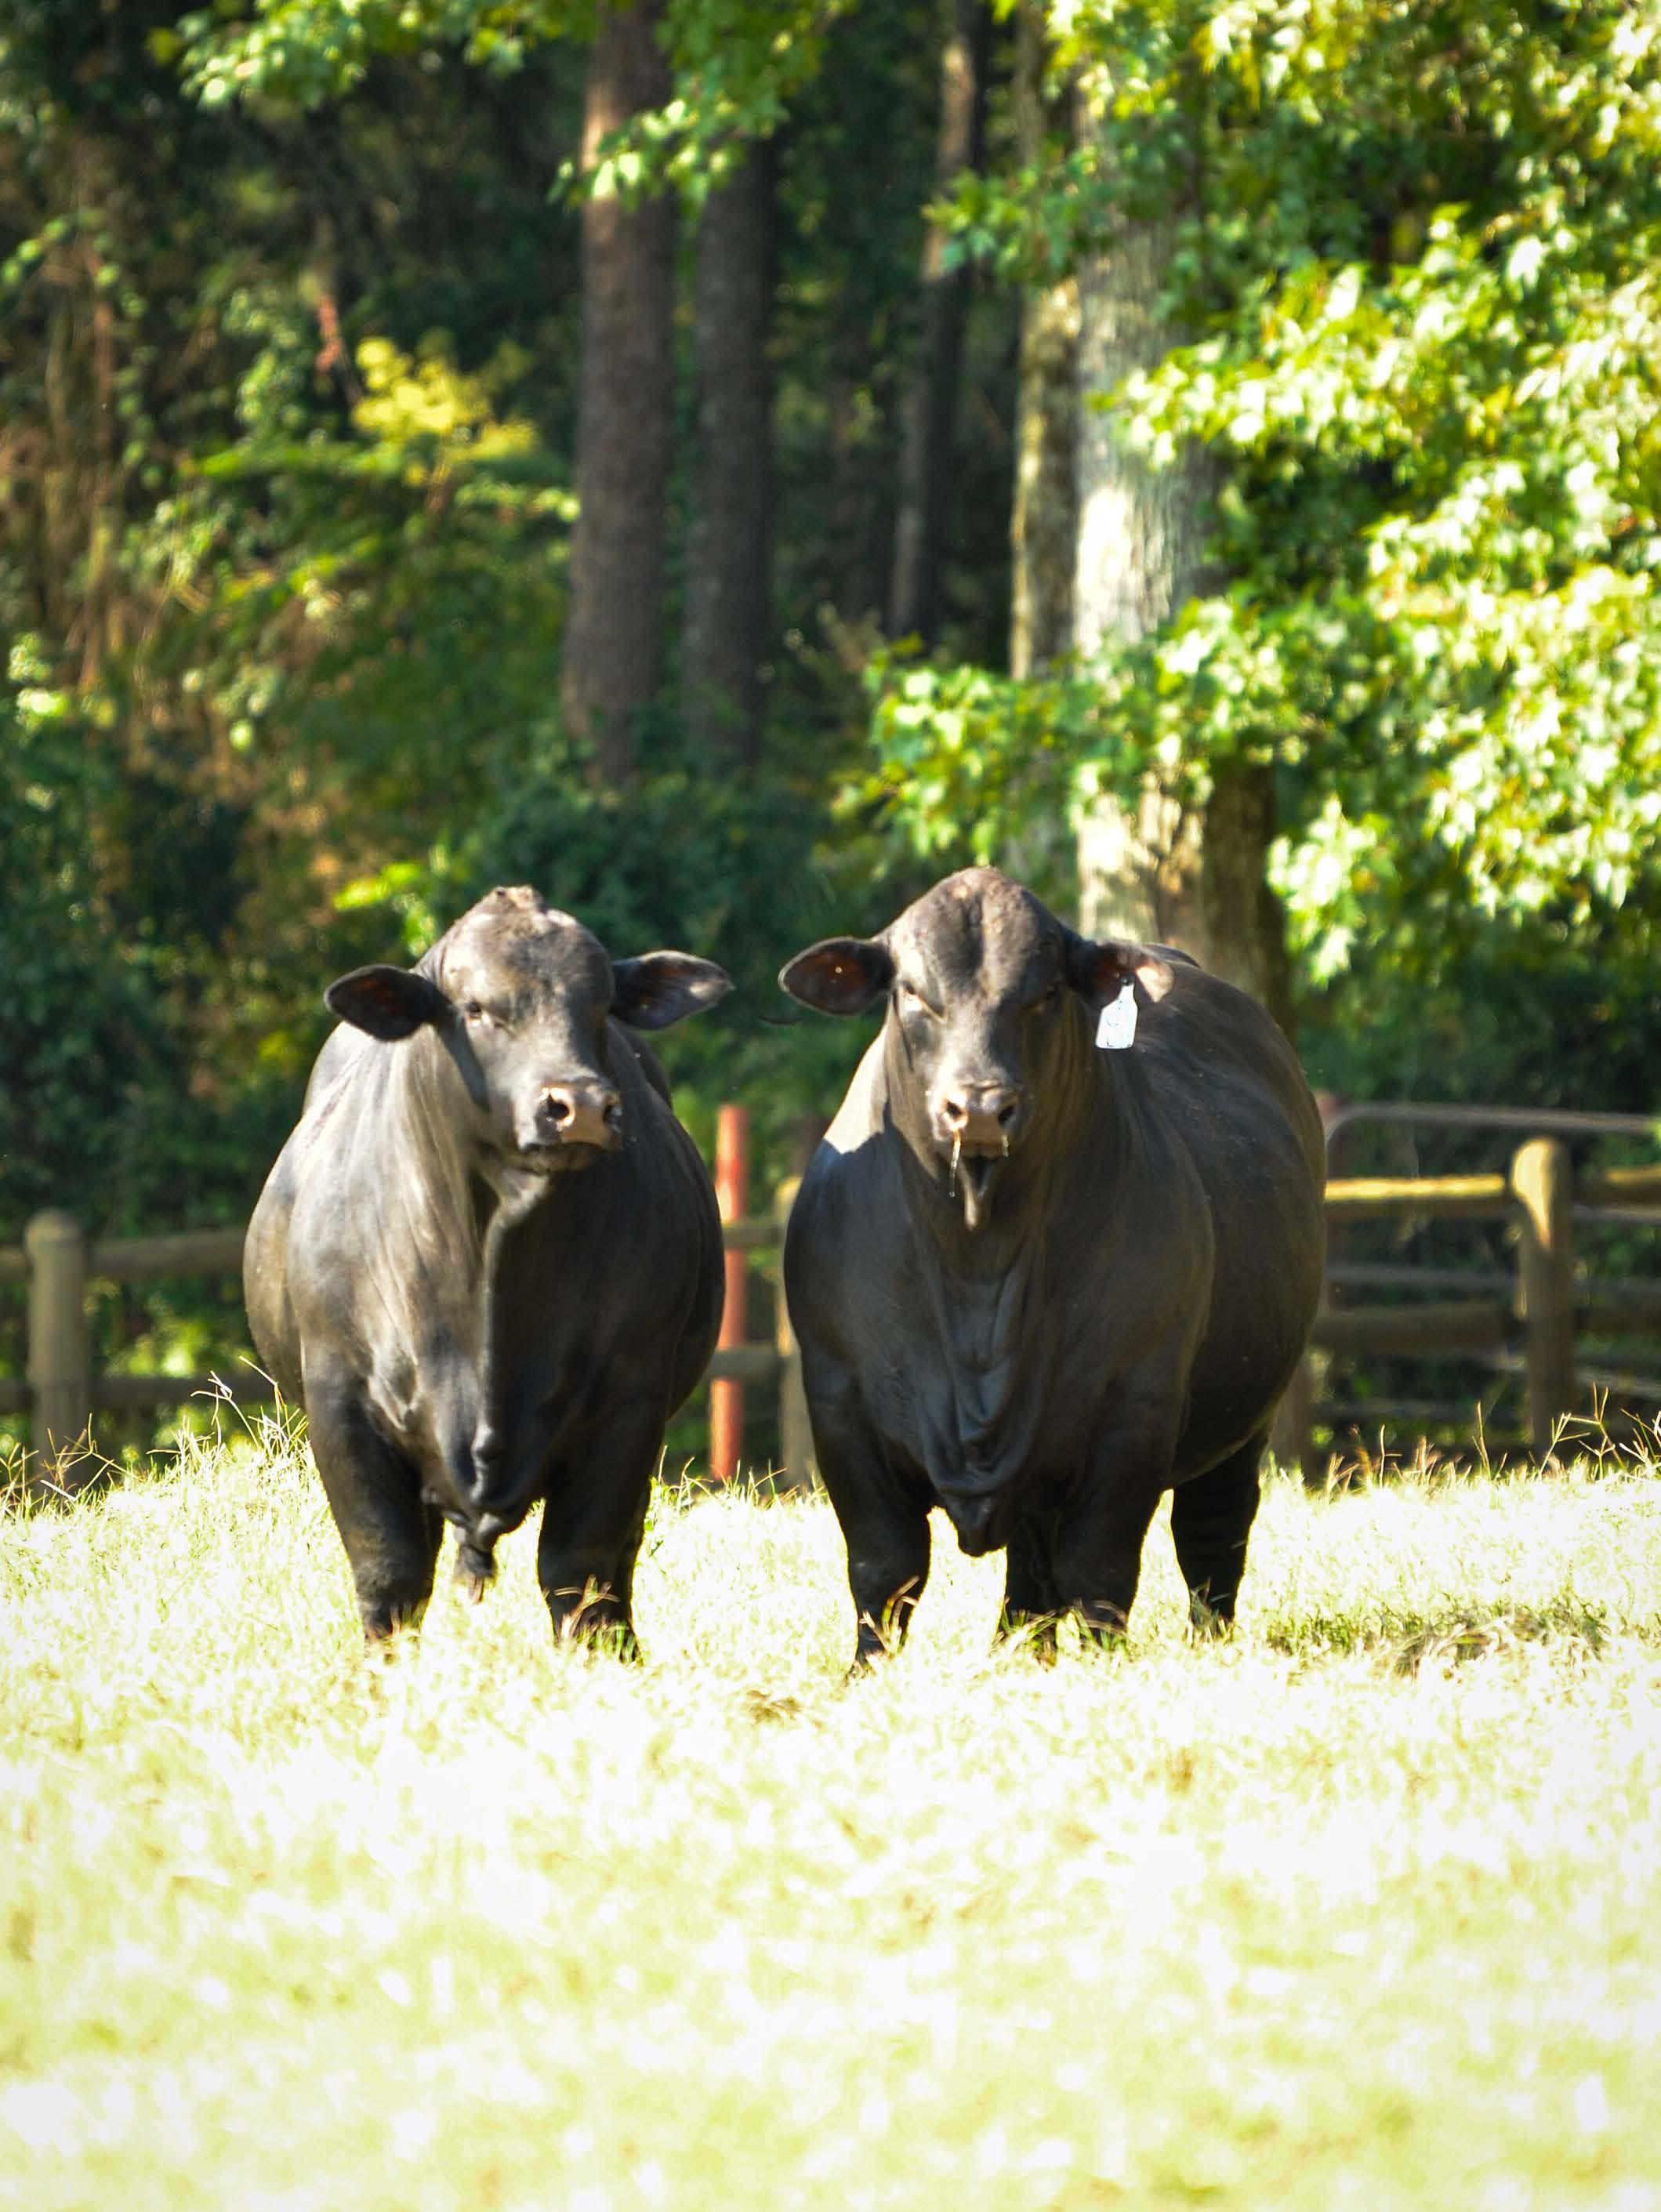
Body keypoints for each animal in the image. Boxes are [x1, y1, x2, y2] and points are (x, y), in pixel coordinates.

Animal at [244, 885, 730, 1651]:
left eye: (601, 1006)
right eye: (474, 1008)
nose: (579, 1106)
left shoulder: (630, 1402)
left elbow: (582, 1571)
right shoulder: (339, 1402)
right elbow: (388, 1571)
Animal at [778, 866, 1325, 1669]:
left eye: (1041, 994)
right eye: (913, 993)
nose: (978, 1107)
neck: (978, 1270)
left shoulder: (1134, 1407)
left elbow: (1098, 1569)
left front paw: (1105, 1665)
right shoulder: (841, 1402)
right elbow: (885, 1564)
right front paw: (866, 1670)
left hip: (1245, 1418)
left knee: (1211, 1535)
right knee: (1030, 1569)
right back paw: (1017, 1650)